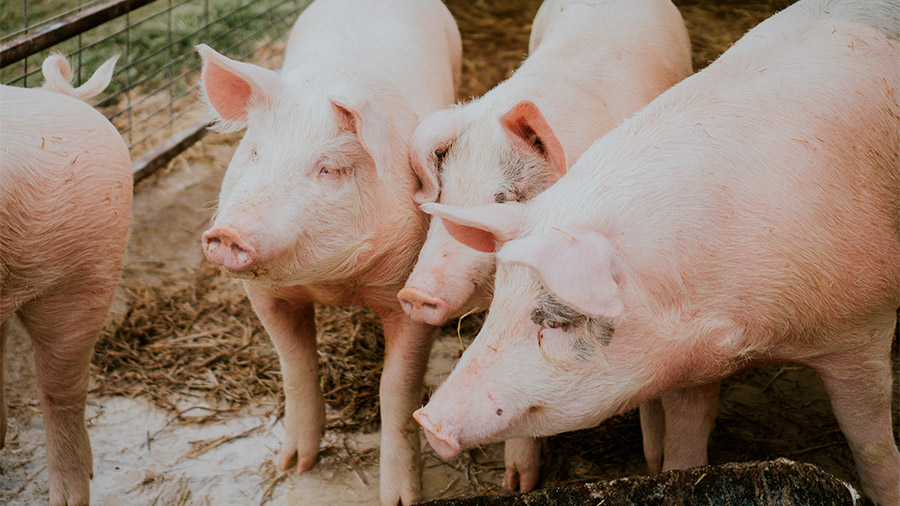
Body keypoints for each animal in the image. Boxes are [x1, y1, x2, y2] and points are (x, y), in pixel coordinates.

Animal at [198, 0, 464, 502]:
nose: (228, 233)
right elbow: (295, 366)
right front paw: (292, 467)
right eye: (254, 153)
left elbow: (396, 388)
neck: (333, 284)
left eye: (329, 169)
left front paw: (400, 498)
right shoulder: (263, 296)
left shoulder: (413, 294)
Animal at [414, 0, 900, 504]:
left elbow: (873, 447)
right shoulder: (690, 365)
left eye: (556, 322)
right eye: (497, 309)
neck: (746, 333)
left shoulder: (863, 329)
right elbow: (685, 445)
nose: (426, 419)